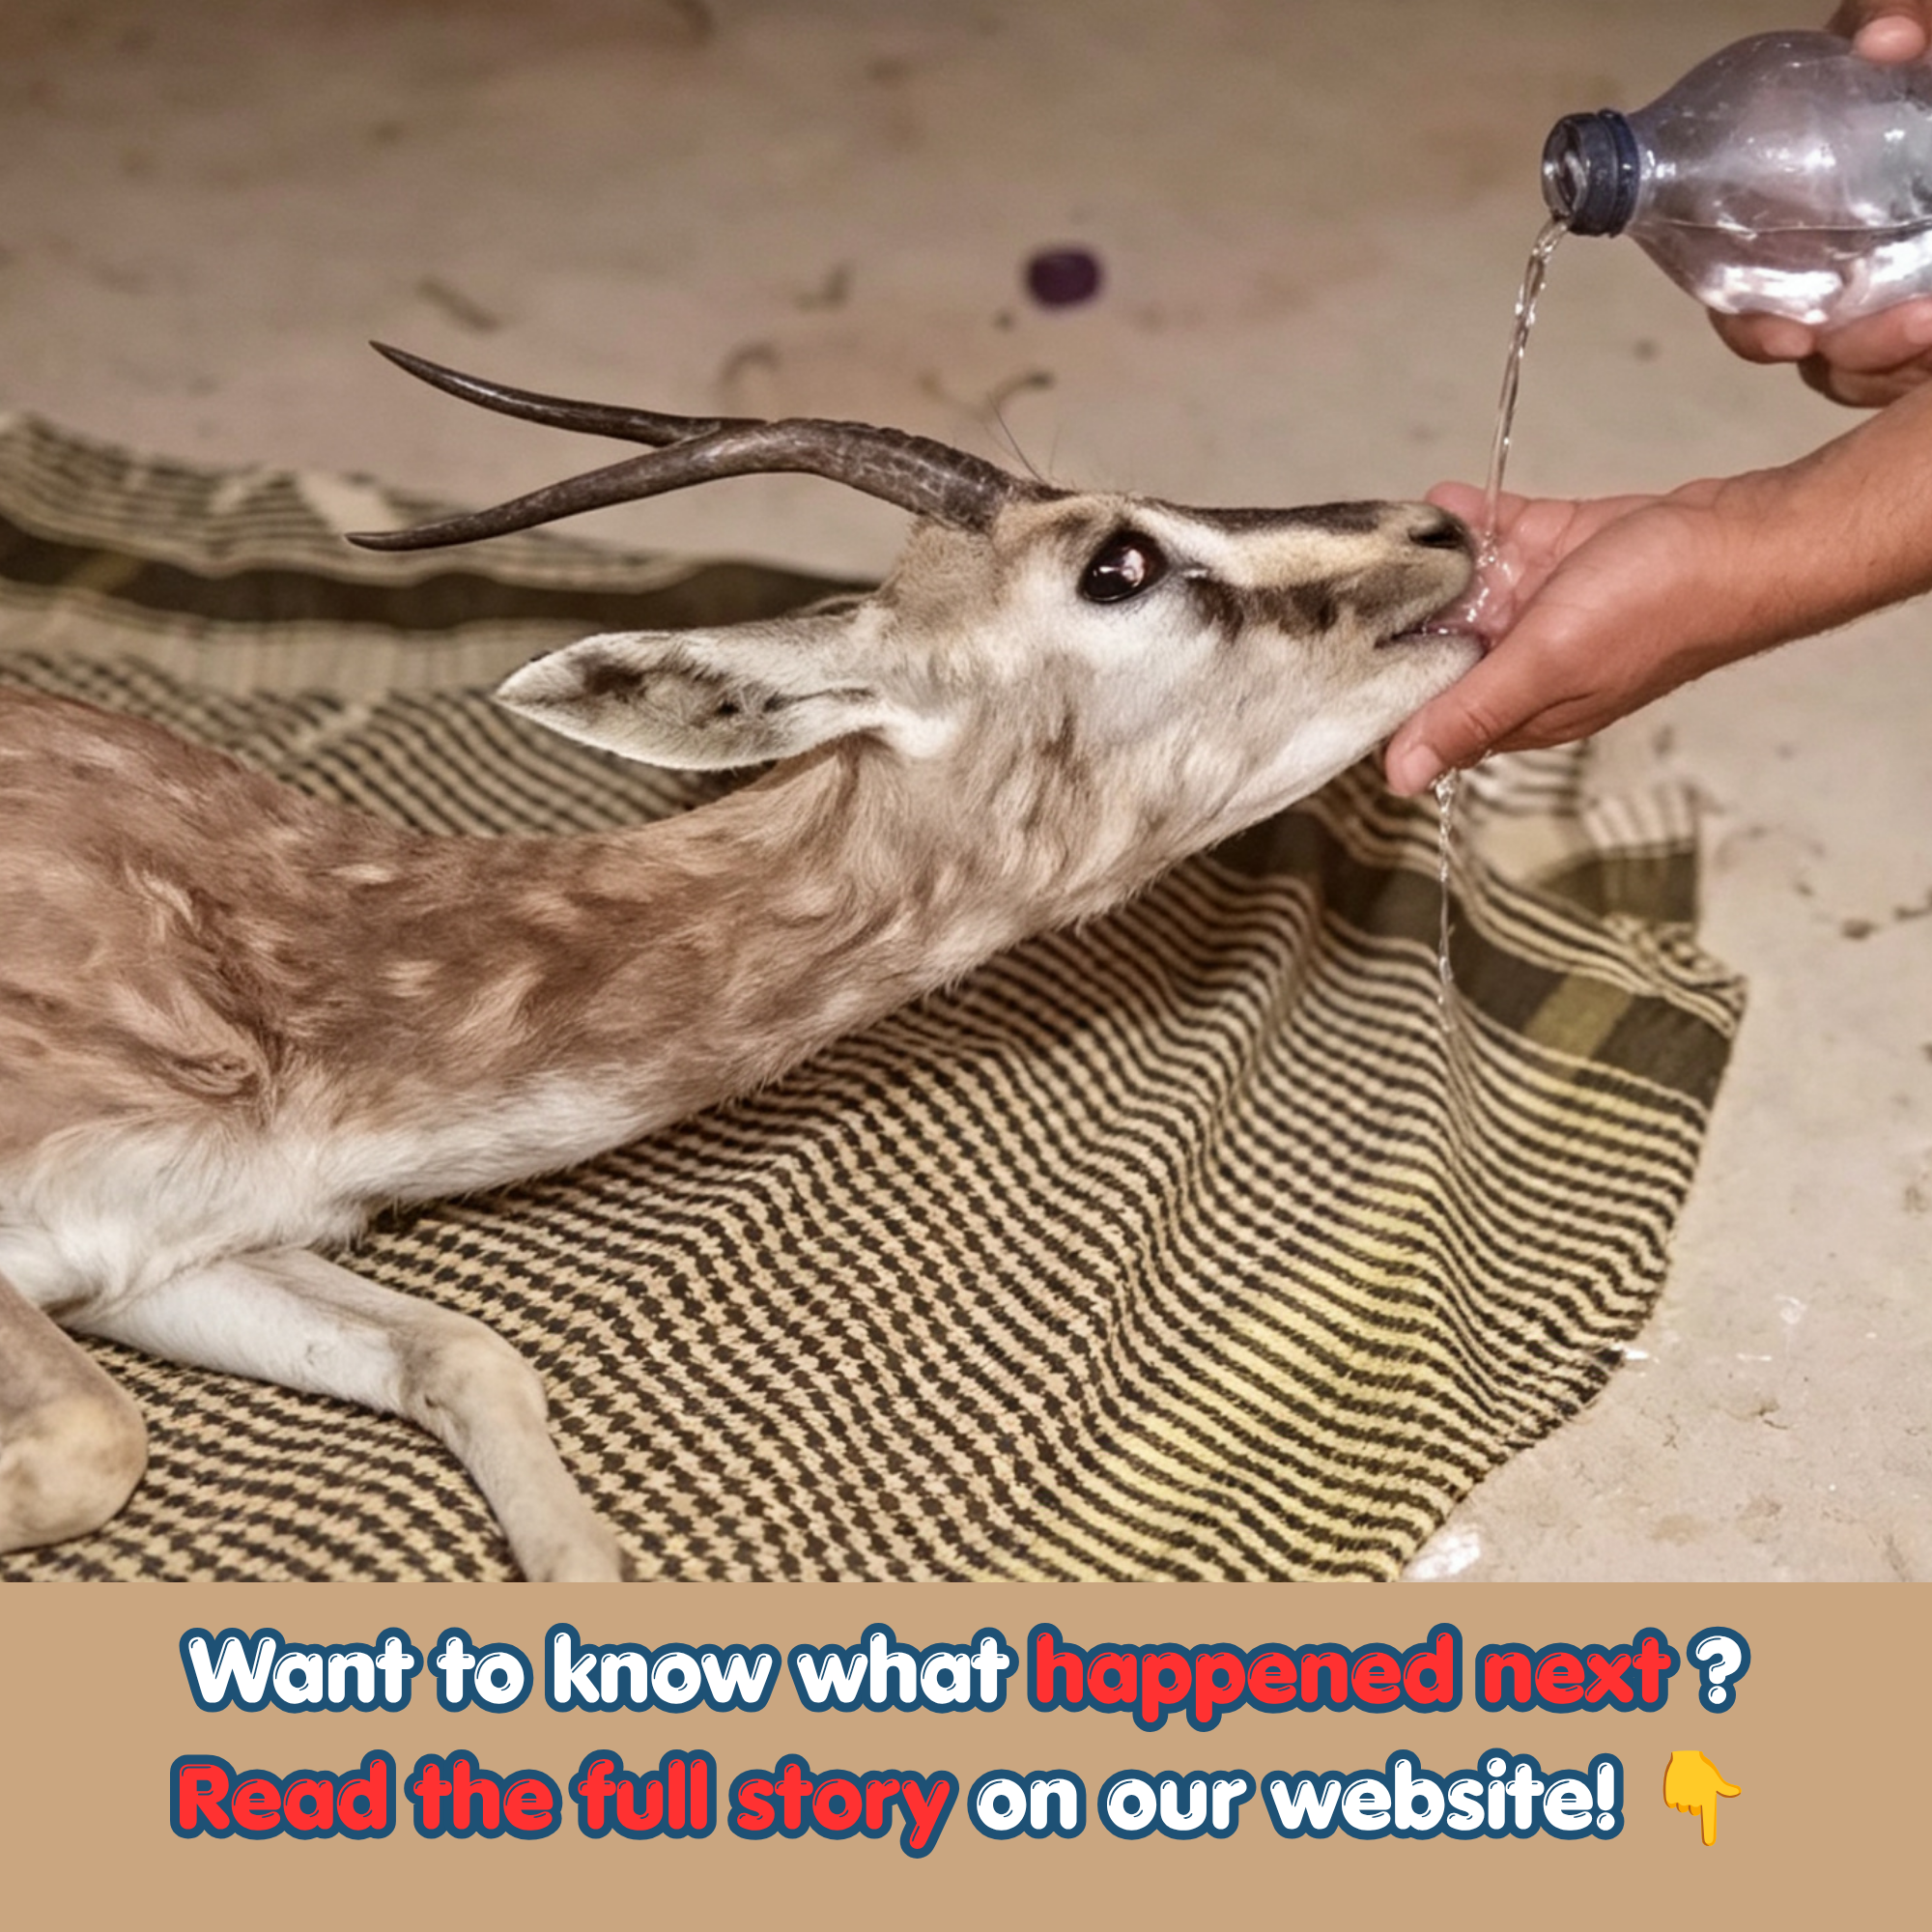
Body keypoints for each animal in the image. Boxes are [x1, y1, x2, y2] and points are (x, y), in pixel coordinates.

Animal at [0, 346, 1484, 1581]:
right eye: (1114, 561)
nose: (1442, 528)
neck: (290, 1010)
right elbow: (102, 1438)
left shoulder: (177, 1249)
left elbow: (468, 1354)